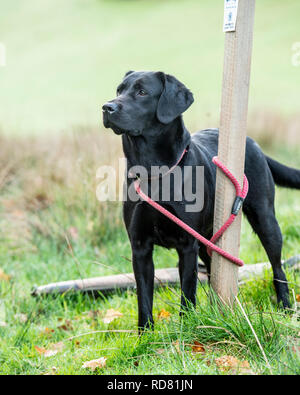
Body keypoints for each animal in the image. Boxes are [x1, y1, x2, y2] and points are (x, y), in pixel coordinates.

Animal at [102, 71, 298, 332]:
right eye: (118, 90)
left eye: (142, 92)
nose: (107, 107)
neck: (154, 171)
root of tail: (253, 143)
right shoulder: (140, 246)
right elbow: (144, 296)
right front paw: (145, 335)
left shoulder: (187, 244)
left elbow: (187, 292)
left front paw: (186, 328)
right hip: (208, 242)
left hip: (265, 220)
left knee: (278, 267)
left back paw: (285, 307)